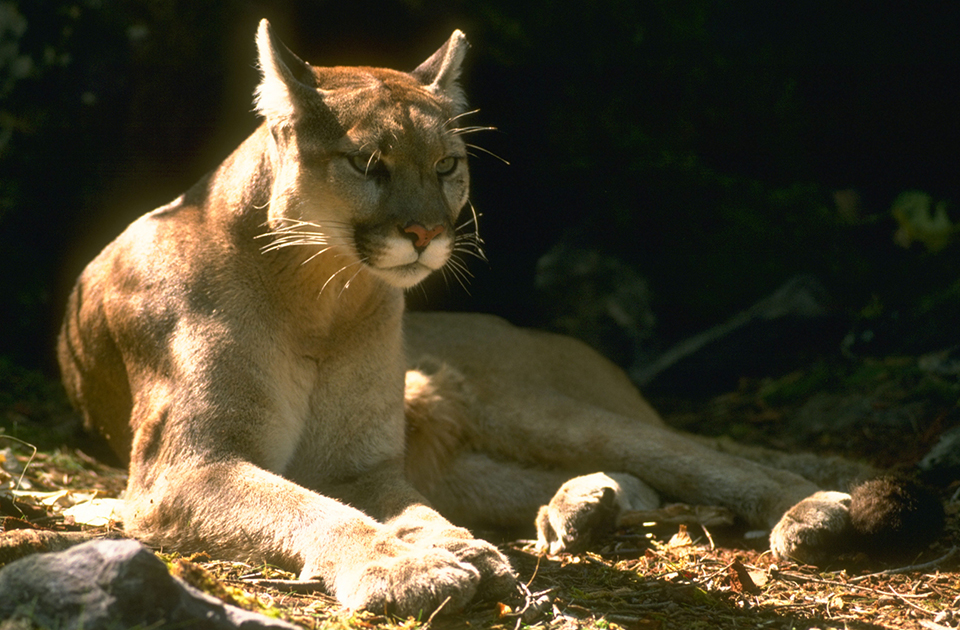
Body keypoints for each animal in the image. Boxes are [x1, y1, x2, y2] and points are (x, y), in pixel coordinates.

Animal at [58, 20, 941, 617]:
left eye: (448, 164)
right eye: (368, 164)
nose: (423, 233)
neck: (322, 294)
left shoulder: (354, 462)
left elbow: (366, 505)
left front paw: (433, 552)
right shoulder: (186, 468)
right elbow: (312, 508)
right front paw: (421, 563)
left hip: (516, 401)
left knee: (706, 458)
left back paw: (808, 511)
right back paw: (581, 511)